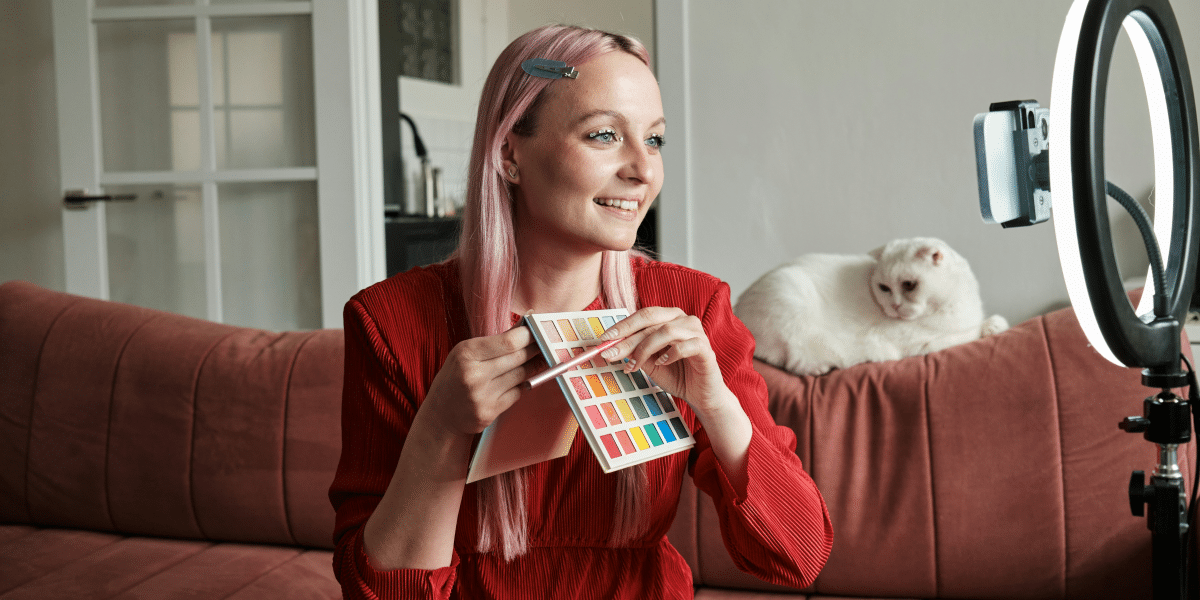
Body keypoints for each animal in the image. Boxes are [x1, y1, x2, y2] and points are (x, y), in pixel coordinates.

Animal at [734, 235, 1008, 372]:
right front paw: (993, 325)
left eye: (908, 285)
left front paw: (994, 324)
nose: (894, 306)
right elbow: (969, 334)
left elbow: (981, 324)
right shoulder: (925, 343)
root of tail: (737, 307)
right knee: (795, 361)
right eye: (884, 288)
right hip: (789, 294)